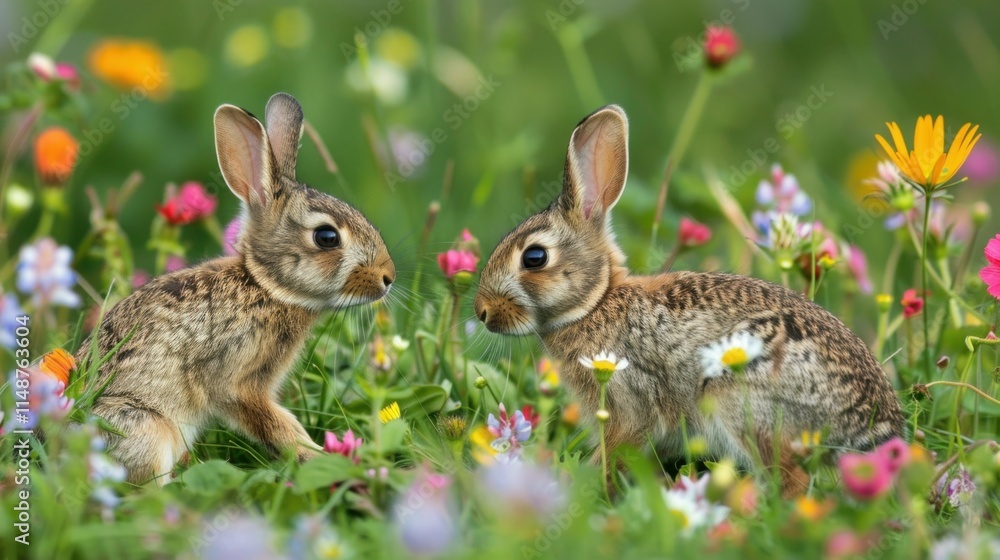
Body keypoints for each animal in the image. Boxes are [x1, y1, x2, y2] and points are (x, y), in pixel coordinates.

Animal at [78, 93, 396, 485]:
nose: (388, 277)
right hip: (144, 427)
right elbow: (276, 424)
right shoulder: (237, 379)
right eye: (326, 237)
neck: (265, 287)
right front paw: (315, 456)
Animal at [473, 105, 904, 496]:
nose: (482, 312)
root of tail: (872, 432)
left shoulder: (629, 405)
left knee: (793, 481)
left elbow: (615, 452)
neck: (595, 303)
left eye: (534, 257)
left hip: (739, 401)